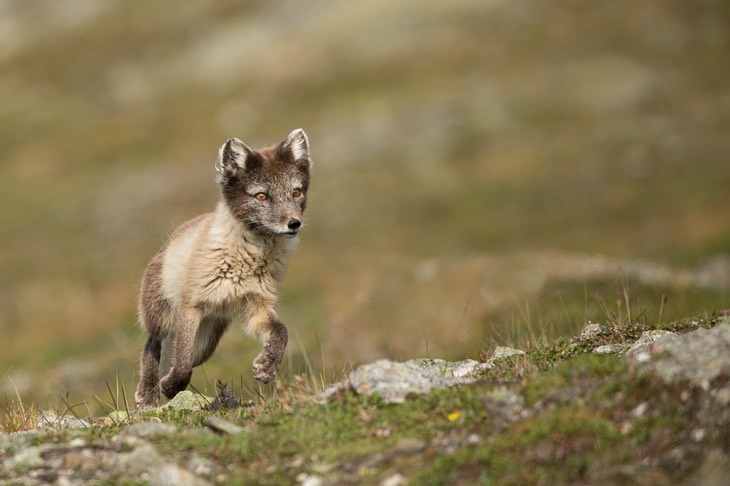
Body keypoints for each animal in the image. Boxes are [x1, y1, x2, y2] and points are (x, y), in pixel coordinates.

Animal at [135, 128, 312, 406]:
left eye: (296, 192)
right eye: (261, 195)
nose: (294, 224)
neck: (247, 259)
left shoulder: (258, 306)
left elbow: (281, 332)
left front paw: (267, 366)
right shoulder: (191, 306)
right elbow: (182, 365)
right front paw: (170, 387)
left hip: (208, 340)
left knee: (185, 356)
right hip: (163, 316)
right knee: (154, 343)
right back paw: (148, 392)